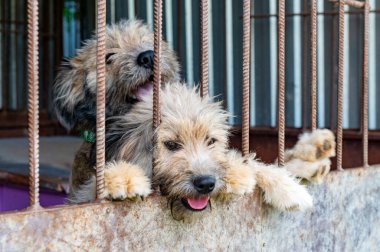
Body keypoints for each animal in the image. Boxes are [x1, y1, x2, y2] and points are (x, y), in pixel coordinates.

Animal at [68, 82, 336, 219]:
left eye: (211, 140)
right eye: (171, 144)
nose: (206, 183)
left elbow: (251, 161)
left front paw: (287, 188)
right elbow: (96, 185)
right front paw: (123, 177)